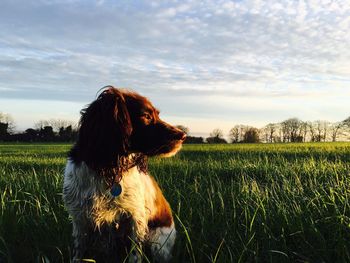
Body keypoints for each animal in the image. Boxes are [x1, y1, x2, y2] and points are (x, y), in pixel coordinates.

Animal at [62, 86, 186, 262]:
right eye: (146, 116)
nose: (183, 135)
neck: (108, 169)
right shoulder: (80, 219)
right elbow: (79, 252)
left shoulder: (135, 217)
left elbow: (135, 254)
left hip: (157, 241)